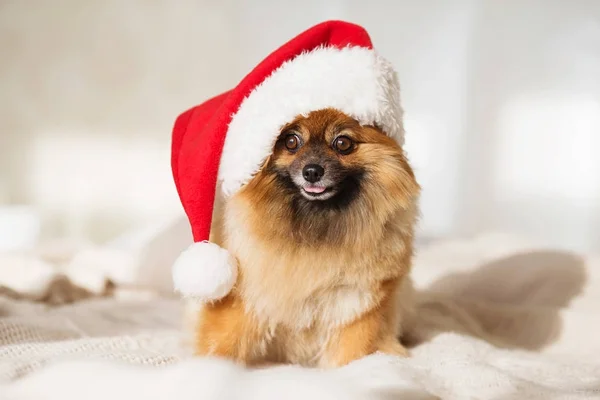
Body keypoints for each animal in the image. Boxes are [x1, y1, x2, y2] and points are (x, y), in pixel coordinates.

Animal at [190, 107, 420, 368]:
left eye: (343, 143)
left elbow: (352, 353)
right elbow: (222, 342)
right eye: (291, 142)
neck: (314, 230)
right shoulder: (244, 296)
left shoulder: (358, 304)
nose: (311, 171)